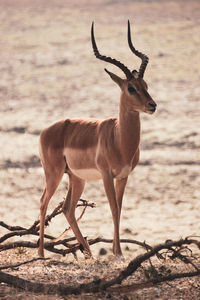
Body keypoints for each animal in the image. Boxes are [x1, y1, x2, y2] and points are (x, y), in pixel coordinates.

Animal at [37, 21, 156, 260]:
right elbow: (113, 208)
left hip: (76, 178)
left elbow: (119, 209)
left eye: (146, 85)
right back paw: (42, 253)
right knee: (44, 202)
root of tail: (45, 131)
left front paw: (117, 252)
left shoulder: (123, 176)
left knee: (67, 208)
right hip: (54, 174)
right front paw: (118, 253)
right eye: (131, 88)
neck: (120, 139)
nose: (152, 105)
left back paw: (89, 254)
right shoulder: (106, 175)